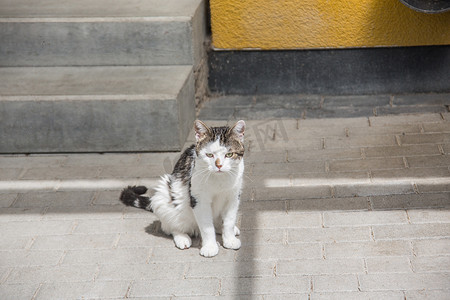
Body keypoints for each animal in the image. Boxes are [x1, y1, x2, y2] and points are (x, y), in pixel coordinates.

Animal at [120, 119, 246, 258]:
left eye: (229, 154)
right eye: (209, 155)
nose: (219, 165)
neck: (219, 179)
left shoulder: (234, 196)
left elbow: (229, 220)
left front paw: (229, 239)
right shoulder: (198, 199)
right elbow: (207, 226)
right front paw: (210, 247)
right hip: (163, 194)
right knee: (170, 227)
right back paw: (182, 238)